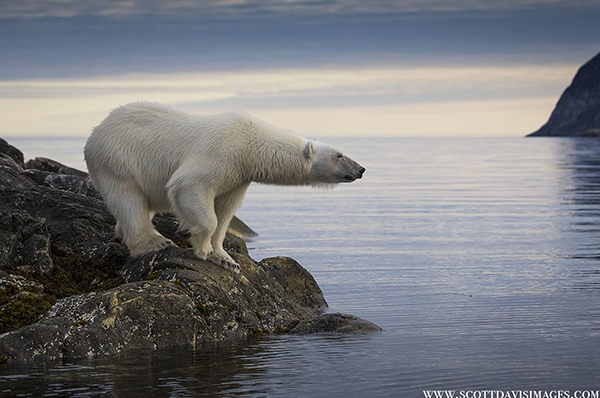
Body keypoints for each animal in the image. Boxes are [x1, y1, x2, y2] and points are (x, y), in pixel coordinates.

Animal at [84, 101, 366, 272]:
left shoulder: (239, 175)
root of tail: (95, 132)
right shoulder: (222, 152)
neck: (250, 145)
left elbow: (225, 211)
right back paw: (155, 242)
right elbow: (190, 185)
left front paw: (226, 259)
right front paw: (202, 247)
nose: (361, 169)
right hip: (118, 159)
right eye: (339, 155)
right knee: (128, 200)